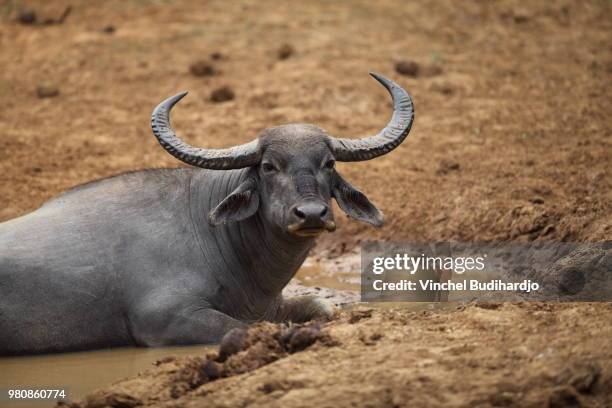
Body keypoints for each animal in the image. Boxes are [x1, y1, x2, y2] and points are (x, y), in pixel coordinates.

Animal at [0, 73, 414, 354]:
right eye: (268, 166)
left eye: (328, 163)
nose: (310, 213)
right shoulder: (165, 319)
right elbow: (239, 328)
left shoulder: (274, 304)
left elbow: (322, 307)